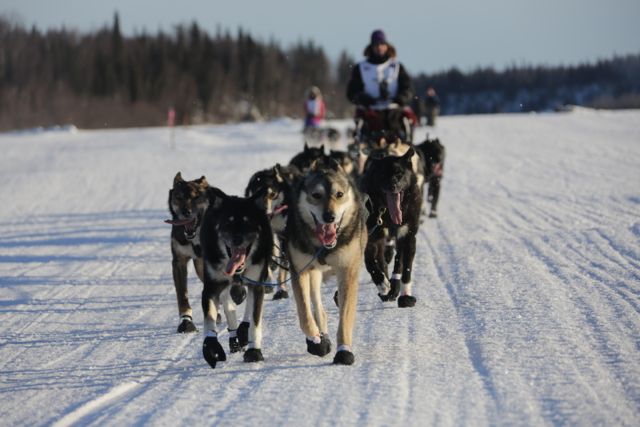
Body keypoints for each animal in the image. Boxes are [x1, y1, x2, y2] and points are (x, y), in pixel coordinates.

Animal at [165, 172, 210, 333]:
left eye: (196, 197)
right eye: (179, 197)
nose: (186, 212)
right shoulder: (179, 261)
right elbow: (182, 295)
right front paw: (186, 321)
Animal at [199, 187, 274, 368]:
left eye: (248, 222)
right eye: (228, 222)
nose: (237, 239)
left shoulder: (257, 284)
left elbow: (255, 320)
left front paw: (254, 351)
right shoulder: (211, 287)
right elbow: (209, 318)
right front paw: (211, 346)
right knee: (228, 305)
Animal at [285, 156, 368, 365]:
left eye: (339, 194)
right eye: (316, 195)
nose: (329, 216)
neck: (324, 246)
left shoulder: (347, 271)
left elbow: (345, 316)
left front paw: (344, 350)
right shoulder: (300, 270)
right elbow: (305, 313)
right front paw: (316, 341)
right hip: (313, 272)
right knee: (317, 308)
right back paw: (321, 336)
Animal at [361, 147, 422, 308]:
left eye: (399, 174)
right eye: (382, 175)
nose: (392, 186)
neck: (387, 215)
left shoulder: (408, 237)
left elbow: (406, 268)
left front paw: (405, 295)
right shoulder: (370, 240)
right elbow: (371, 265)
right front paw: (382, 284)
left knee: (397, 262)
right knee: (381, 262)